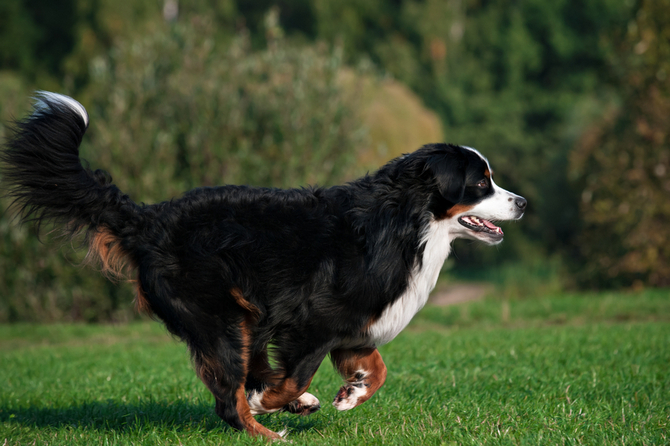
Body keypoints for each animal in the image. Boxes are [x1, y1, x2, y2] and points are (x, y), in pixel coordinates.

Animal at [0, 92, 528, 440]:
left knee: (245, 376)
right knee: (228, 399)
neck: (406, 222)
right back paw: (267, 430)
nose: (522, 203)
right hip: (222, 315)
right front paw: (280, 401)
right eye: (481, 182)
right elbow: (296, 374)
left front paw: (349, 394)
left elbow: (376, 369)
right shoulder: (314, 322)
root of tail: (150, 219)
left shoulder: (354, 325)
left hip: (247, 315)